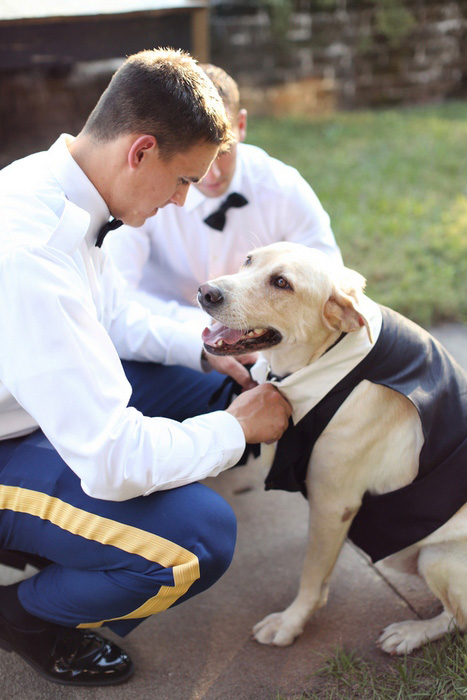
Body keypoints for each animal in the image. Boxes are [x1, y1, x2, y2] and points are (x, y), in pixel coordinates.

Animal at [198, 241, 467, 656]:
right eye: (248, 260)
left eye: (282, 283)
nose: (206, 292)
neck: (325, 361)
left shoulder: (333, 503)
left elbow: (312, 575)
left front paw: (290, 623)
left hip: (438, 558)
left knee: (457, 619)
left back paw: (410, 632)